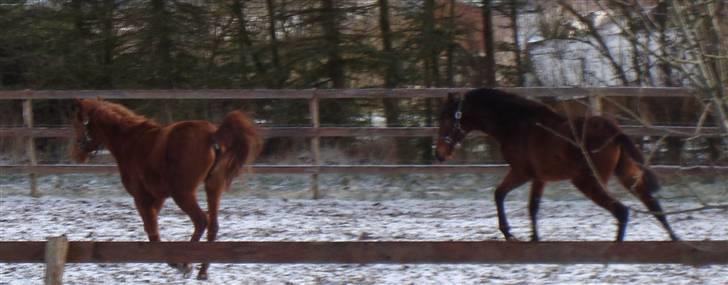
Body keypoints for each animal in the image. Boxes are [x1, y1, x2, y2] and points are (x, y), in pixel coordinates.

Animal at [71, 97, 264, 278]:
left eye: (80, 121)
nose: (78, 151)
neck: (131, 141)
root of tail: (213, 135)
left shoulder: (142, 197)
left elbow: (152, 233)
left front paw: (175, 263)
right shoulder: (158, 197)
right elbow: (152, 230)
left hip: (183, 193)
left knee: (201, 221)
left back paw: (186, 263)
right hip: (213, 188)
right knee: (213, 226)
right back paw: (202, 271)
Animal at [436, 87, 680, 241]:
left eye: (448, 117)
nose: (439, 154)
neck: (516, 124)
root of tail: (615, 132)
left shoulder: (522, 172)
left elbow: (500, 194)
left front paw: (509, 233)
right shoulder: (539, 177)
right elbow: (531, 206)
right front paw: (533, 238)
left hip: (587, 181)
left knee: (621, 212)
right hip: (627, 175)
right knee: (654, 206)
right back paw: (675, 240)